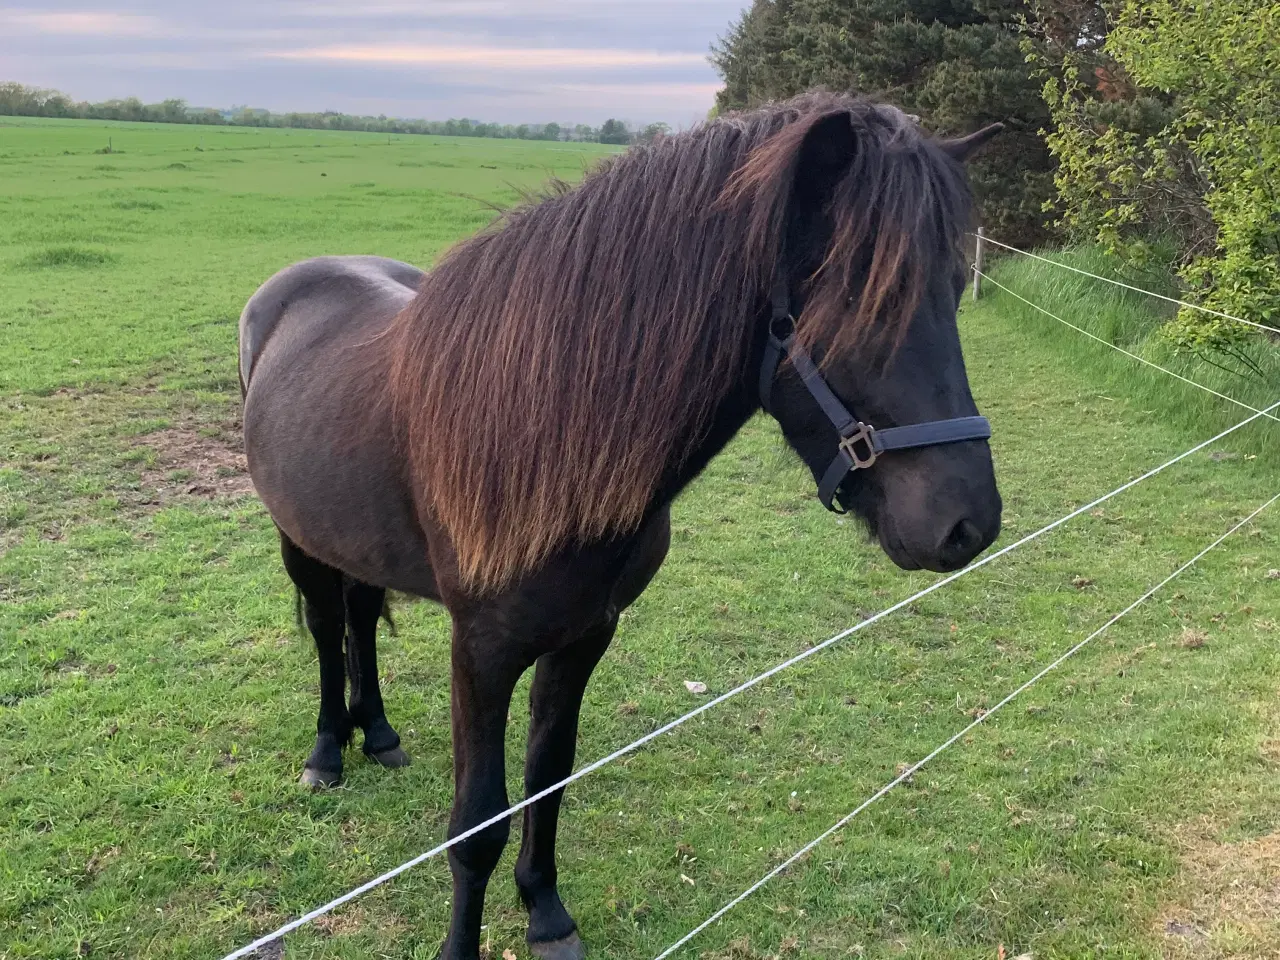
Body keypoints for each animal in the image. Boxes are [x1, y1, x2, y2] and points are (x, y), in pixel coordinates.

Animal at [235, 96, 1003, 960]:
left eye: (953, 287)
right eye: (863, 302)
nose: (968, 522)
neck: (542, 427)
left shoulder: (584, 635)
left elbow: (548, 778)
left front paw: (545, 912)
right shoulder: (481, 652)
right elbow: (476, 826)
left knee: (361, 617)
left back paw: (378, 732)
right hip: (299, 540)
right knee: (328, 629)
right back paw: (328, 750)